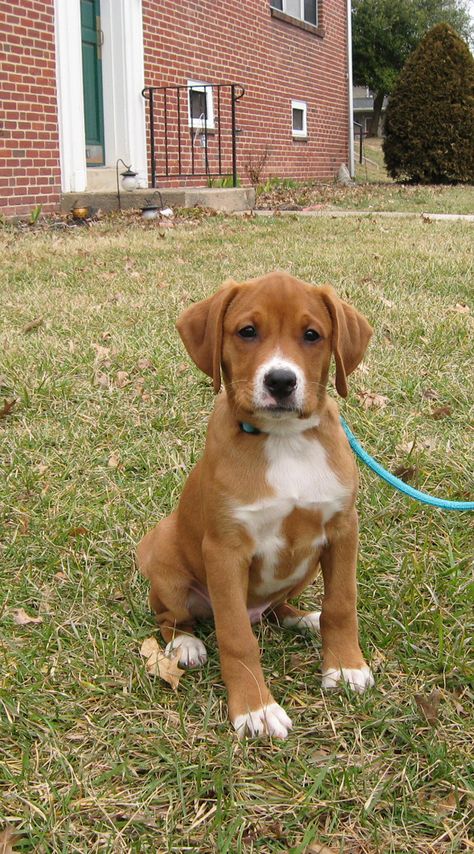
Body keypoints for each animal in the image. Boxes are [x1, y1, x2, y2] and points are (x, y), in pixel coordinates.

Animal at [137, 272, 374, 736]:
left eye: (312, 335)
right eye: (247, 331)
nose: (281, 381)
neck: (284, 441)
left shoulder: (342, 529)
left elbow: (341, 604)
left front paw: (344, 666)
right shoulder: (225, 552)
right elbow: (235, 638)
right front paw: (255, 708)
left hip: (305, 567)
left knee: (275, 610)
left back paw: (302, 617)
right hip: (165, 563)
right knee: (173, 618)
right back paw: (186, 644)